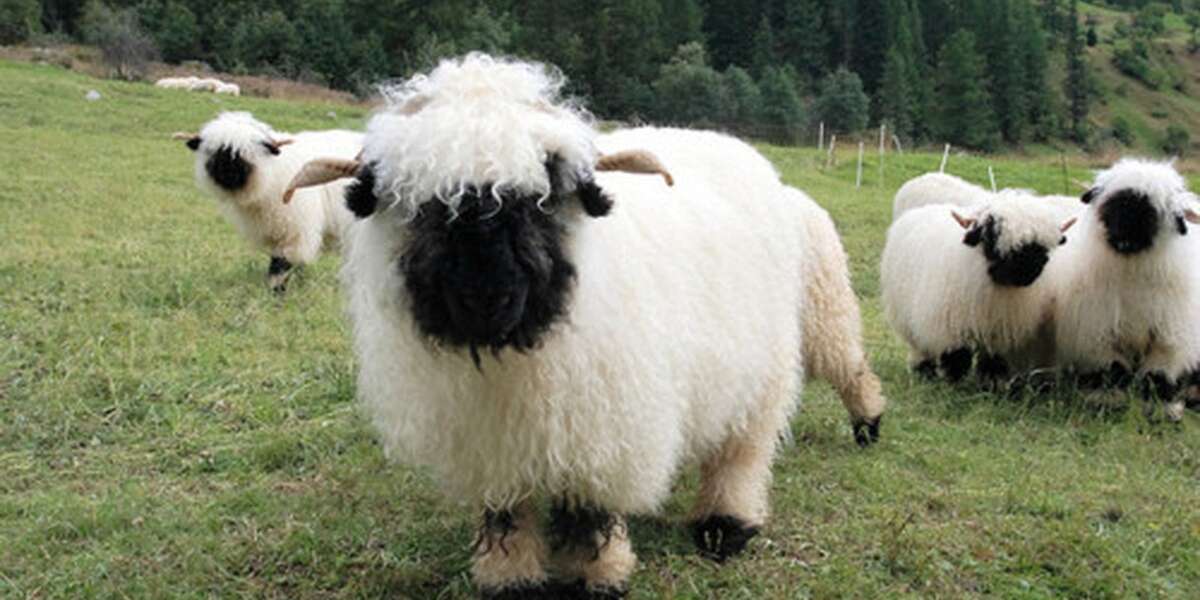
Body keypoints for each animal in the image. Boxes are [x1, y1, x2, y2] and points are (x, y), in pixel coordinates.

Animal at [174, 112, 363, 292]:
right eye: (214, 152)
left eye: (243, 154)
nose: (226, 173)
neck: (271, 174)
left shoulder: (294, 231)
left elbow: (280, 265)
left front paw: (277, 292)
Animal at [290, 54, 807, 597]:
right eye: (424, 204)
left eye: (542, 196)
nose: (485, 297)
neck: (512, 354)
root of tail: (722, 140)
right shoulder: (492, 442)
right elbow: (506, 512)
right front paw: (510, 577)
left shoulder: (602, 429)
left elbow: (589, 512)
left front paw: (596, 576)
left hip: (765, 368)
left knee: (743, 450)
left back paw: (726, 524)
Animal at [882, 190, 1075, 383]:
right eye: (992, 236)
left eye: (1042, 247)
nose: (1027, 272)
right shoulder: (951, 328)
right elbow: (957, 358)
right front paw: (955, 383)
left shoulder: (998, 330)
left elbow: (992, 361)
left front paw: (990, 383)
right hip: (907, 318)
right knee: (919, 347)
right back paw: (924, 372)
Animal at [1049, 158, 1200, 420]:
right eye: (1112, 204)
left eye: (1153, 212)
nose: (1124, 238)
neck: (1132, 273)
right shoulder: (1098, 331)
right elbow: (1112, 370)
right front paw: (1106, 401)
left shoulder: (1169, 339)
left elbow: (1158, 376)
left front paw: (1161, 409)